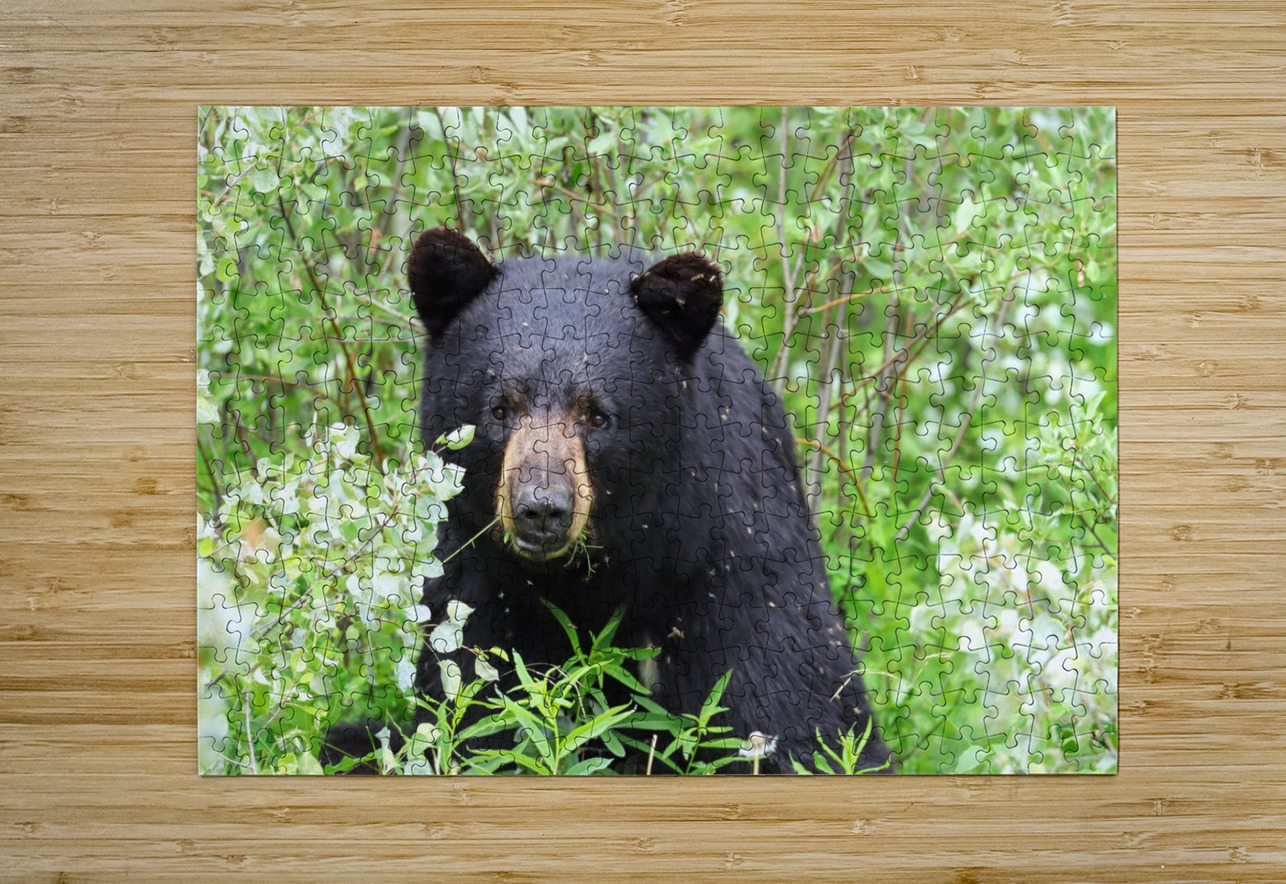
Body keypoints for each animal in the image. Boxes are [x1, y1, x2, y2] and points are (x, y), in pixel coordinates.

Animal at [333, 228, 892, 774]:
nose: (541, 508)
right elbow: (472, 713)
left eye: (597, 415)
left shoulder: (736, 555)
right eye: (499, 409)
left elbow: (795, 710)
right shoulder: (476, 584)